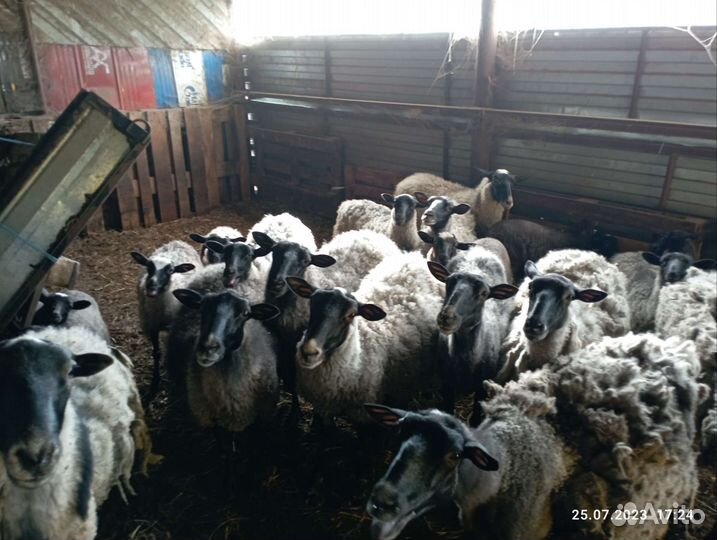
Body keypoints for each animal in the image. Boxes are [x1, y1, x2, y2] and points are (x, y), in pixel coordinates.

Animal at [130, 240, 201, 397]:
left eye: (170, 271)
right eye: (149, 267)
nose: (151, 287)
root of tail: (176, 241)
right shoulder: (152, 326)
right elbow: (156, 353)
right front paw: (155, 381)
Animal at [252, 228, 401, 416]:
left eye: (306, 262)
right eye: (275, 253)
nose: (277, 284)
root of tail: (371, 233)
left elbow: (293, 380)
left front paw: (295, 412)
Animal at [286, 251, 443, 423]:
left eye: (351, 315)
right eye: (312, 304)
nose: (308, 351)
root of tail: (414, 257)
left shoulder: (364, 414)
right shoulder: (323, 410)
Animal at [426, 245, 518, 424]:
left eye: (484, 293)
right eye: (447, 283)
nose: (446, 317)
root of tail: (479, 249)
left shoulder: (482, 388)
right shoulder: (446, 385)